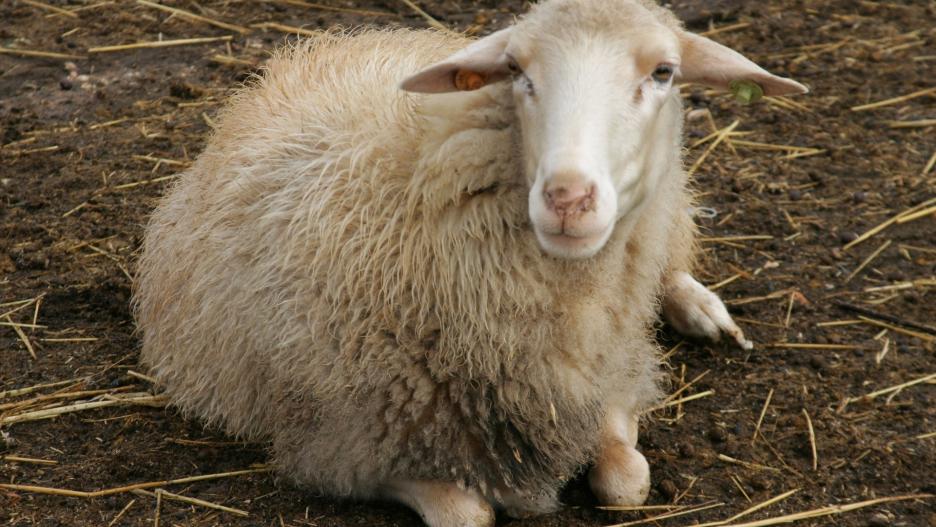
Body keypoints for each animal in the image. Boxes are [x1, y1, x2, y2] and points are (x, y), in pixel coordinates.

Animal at [132, 2, 804, 524]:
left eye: (663, 72)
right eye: (517, 72)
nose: (567, 197)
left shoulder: (609, 380)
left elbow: (626, 480)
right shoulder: (338, 447)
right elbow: (470, 514)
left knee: (671, 261)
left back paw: (701, 308)